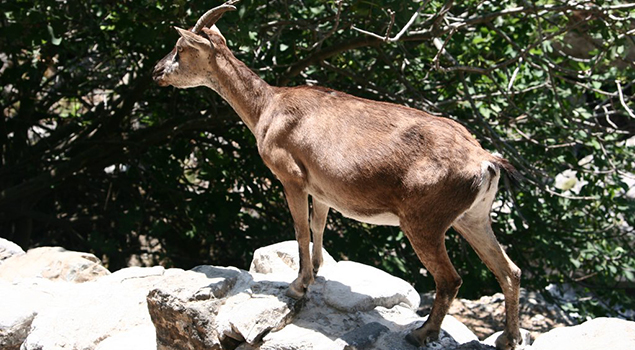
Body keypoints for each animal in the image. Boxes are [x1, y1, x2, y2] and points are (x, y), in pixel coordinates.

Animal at [153, 1, 520, 348]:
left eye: (180, 47)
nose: (157, 71)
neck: (266, 109)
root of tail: (486, 161)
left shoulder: (291, 176)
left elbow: (300, 229)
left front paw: (297, 286)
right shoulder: (323, 189)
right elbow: (318, 225)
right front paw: (315, 273)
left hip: (424, 220)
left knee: (450, 279)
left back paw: (421, 333)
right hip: (473, 217)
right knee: (509, 270)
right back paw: (508, 338)